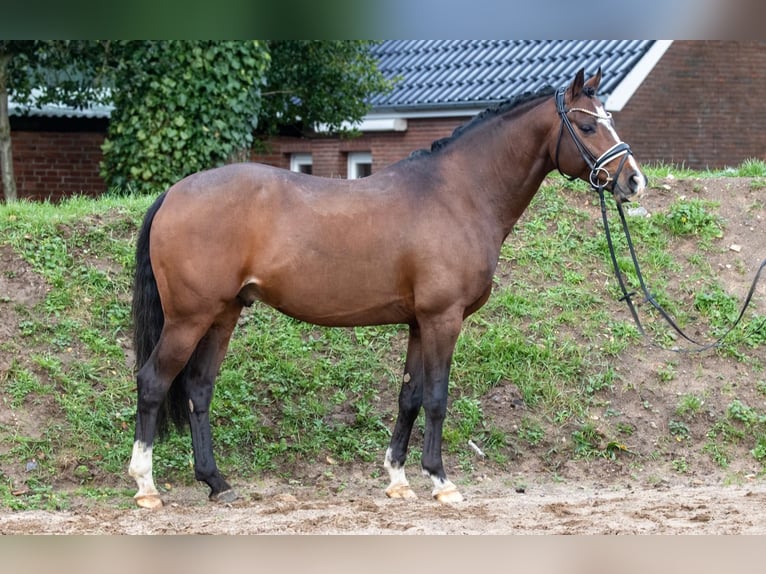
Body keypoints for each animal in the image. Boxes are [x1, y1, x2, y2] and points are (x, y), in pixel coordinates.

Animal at [129, 68, 644, 508]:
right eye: (587, 125)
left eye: (610, 120)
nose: (633, 180)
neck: (458, 193)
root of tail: (173, 193)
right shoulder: (442, 319)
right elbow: (436, 398)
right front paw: (441, 481)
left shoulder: (419, 322)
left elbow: (409, 397)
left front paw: (398, 479)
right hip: (189, 319)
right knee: (154, 382)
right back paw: (146, 486)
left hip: (223, 315)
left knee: (198, 389)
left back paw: (216, 483)